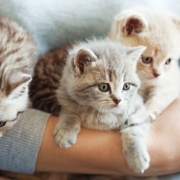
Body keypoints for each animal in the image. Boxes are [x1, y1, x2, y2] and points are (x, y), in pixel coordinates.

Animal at [53, 38, 150, 173]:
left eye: (126, 86)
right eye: (103, 87)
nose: (118, 100)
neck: (103, 113)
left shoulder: (138, 108)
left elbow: (134, 128)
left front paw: (137, 157)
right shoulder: (65, 96)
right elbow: (70, 111)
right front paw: (65, 130)